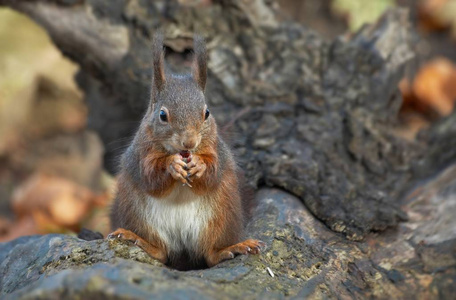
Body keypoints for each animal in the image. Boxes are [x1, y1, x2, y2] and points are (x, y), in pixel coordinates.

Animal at [108, 33, 264, 270]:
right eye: (163, 115)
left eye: (207, 113)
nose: (189, 143)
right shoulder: (141, 153)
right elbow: (151, 176)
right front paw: (171, 165)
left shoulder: (216, 150)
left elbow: (212, 172)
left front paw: (199, 165)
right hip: (138, 215)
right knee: (161, 252)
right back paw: (137, 239)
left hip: (220, 218)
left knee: (210, 255)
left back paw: (232, 247)